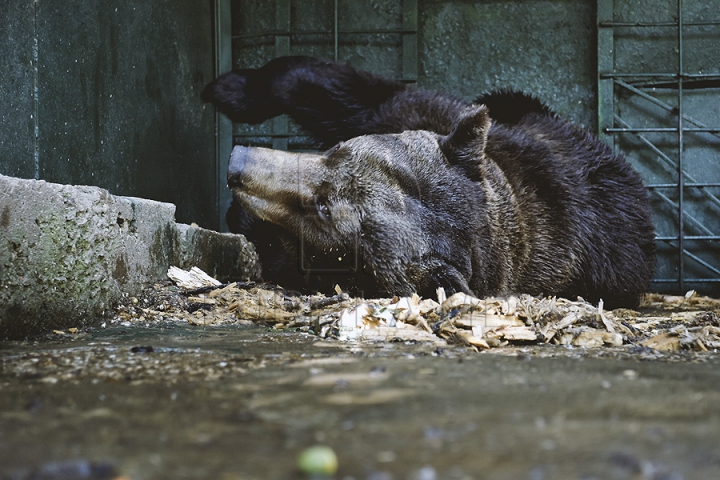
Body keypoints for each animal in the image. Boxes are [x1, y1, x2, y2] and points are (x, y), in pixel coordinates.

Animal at [204, 55, 660, 308]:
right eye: (337, 154)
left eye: (323, 208)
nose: (238, 162)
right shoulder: (418, 114)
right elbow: (334, 89)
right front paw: (228, 87)